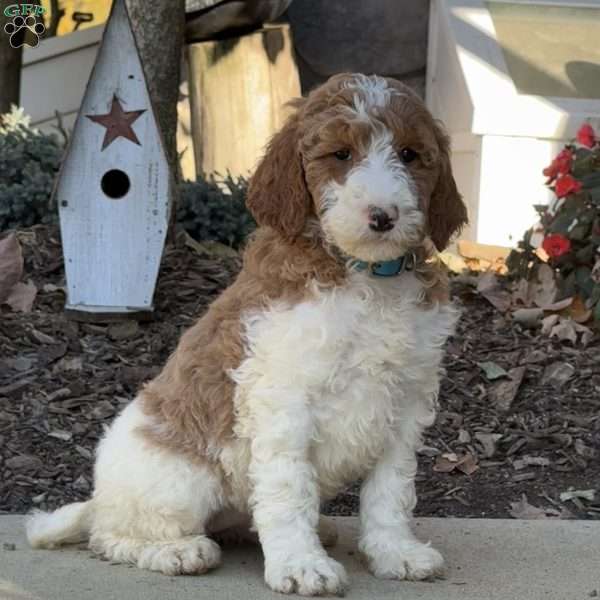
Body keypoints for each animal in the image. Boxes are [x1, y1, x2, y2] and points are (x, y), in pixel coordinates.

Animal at [27, 74, 468, 596]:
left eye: (409, 154)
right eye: (341, 154)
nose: (383, 216)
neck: (364, 275)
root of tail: (101, 497)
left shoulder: (405, 402)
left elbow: (391, 490)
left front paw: (394, 552)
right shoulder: (285, 401)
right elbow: (288, 489)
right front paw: (301, 565)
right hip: (180, 481)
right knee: (112, 536)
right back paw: (176, 551)